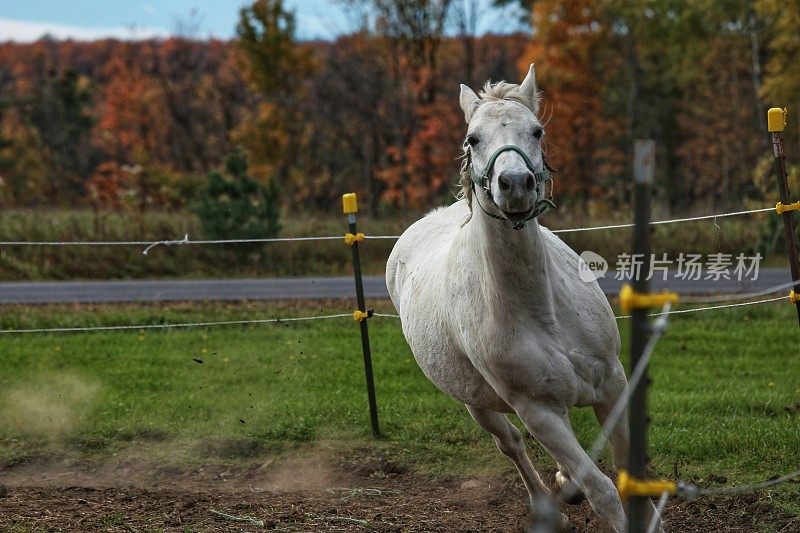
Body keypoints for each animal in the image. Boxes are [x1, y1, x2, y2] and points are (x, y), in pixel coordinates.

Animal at [384, 64, 660, 528]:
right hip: (477, 404)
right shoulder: (538, 412)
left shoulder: (613, 382)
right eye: (472, 138)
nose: (514, 183)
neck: (541, 310)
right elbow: (603, 490)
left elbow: (625, 467)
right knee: (510, 444)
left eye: (537, 130)